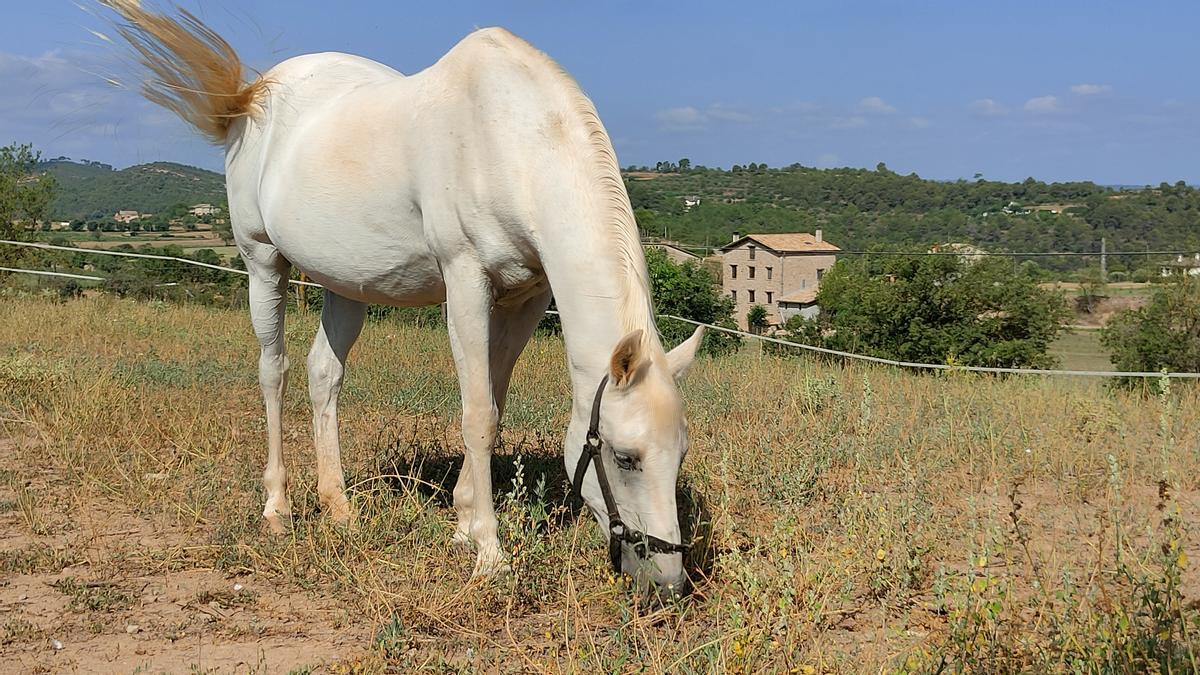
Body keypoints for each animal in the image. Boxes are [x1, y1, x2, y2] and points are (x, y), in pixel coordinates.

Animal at [105, 1, 700, 588]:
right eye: (625, 457)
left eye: (680, 454)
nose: (667, 582)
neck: (508, 138)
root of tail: (254, 94)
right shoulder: (466, 280)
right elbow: (478, 415)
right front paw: (488, 551)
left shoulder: (527, 298)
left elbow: (493, 401)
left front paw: (462, 525)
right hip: (262, 261)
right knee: (273, 371)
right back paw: (277, 507)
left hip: (344, 284)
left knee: (323, 375)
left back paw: (339, 509)